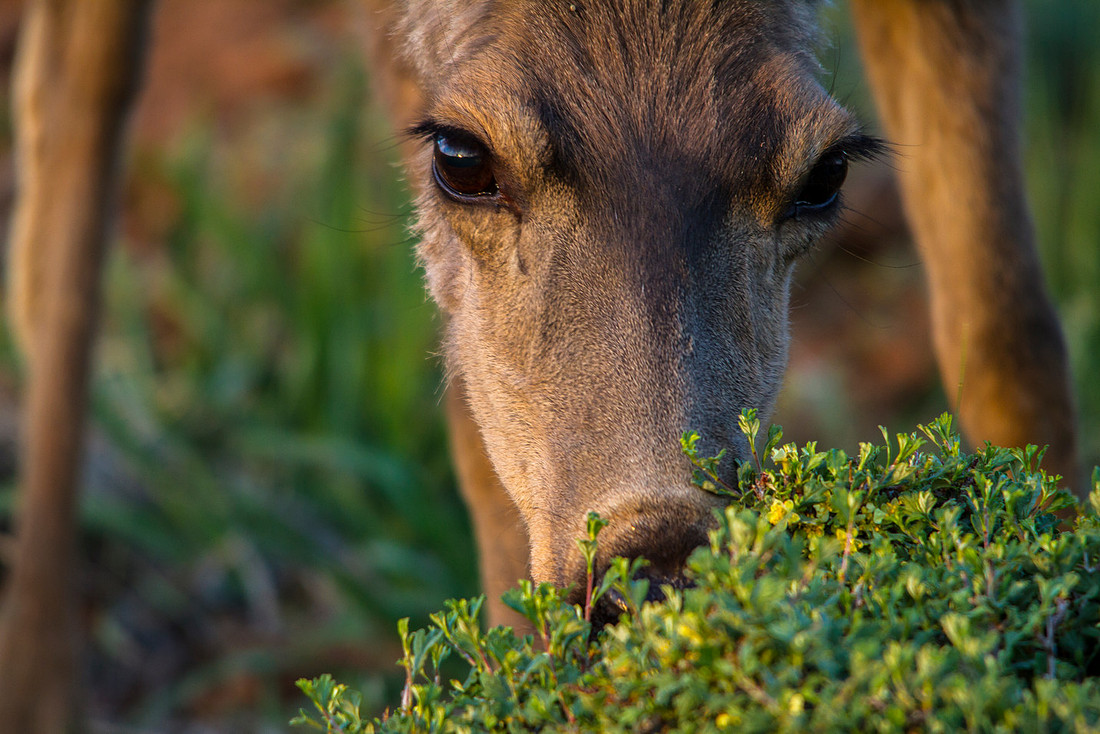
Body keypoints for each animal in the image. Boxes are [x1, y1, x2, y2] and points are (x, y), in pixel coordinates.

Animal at [0, 1, 1079, 731]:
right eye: (460, 156)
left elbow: (1008, 336)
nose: (658, 547)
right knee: (73, 122)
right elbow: (475, 444)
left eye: (825, 174)